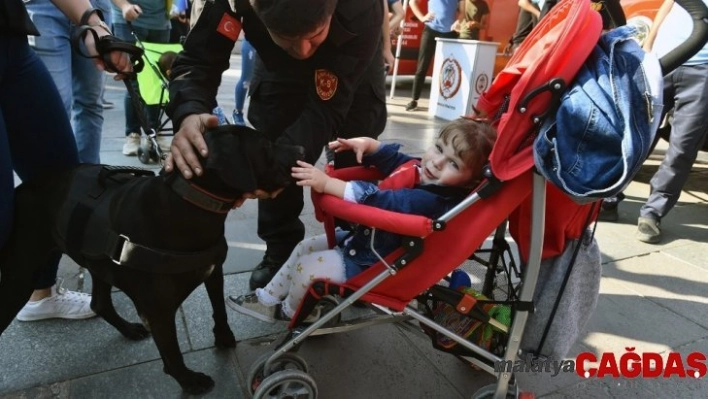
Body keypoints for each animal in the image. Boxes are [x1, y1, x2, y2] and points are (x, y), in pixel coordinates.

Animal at [0, 126, 302, 396]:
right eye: (265, 145)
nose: (300, 149)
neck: (190, 204)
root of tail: (22, 189)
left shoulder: (214, 272)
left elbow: (220, 310)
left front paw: (224, 337)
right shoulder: (157, 310)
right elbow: (171, 351)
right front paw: (188, 381)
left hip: (98, 263)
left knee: (100, 303)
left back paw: (127, 329)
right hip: (19, 275)